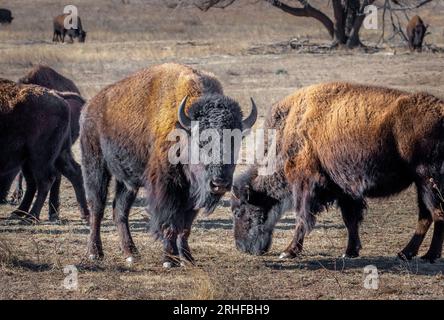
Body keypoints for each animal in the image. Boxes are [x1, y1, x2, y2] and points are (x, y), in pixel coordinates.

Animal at [0, 78, 90, 221]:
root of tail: (58, 95)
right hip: (53, 154)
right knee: (72, 173)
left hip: (39, 155)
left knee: (45, 180)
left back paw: (31, 216)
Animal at [80, 63, 256, 266]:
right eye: (201, 142)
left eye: (234, 141)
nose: (219, 183)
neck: (183, 131)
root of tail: (89, 106)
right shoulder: (167, 188)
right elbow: (170, 223)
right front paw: (169, 260)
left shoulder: (191, 194)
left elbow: (185, 227)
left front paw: (188, 258)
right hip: (95, 165)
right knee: (97, 207)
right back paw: (94, 253)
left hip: (127, 181)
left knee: (120, 210)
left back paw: (131, 253)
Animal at [231, 82, 444, 262]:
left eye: (239, 211)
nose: (242, 247)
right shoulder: (344, 191)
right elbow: (350, 220)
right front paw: (350, 252)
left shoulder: (304, 185)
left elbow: (302, 218)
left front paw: (288, 252)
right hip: (421, 184)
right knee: (425, 215)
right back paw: (405, 253)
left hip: (427, 180)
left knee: (436, 213)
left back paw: (429, 256)